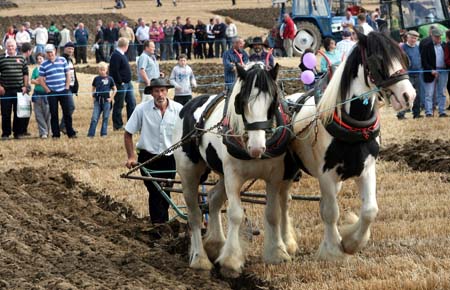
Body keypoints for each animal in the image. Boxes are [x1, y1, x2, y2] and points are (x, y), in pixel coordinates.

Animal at [174, 61, 298, 276]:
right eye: (241, 102)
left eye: (273, 102)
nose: (257, 148)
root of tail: (188, 104)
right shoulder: (233, 176)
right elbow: (235, 214)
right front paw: (231, 261)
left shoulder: (274, 175)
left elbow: (273, 213)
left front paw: (277, 253)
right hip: (189, 172)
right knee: (195, 215)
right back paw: (200, 258)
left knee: (214, 199)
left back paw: (216, 244)